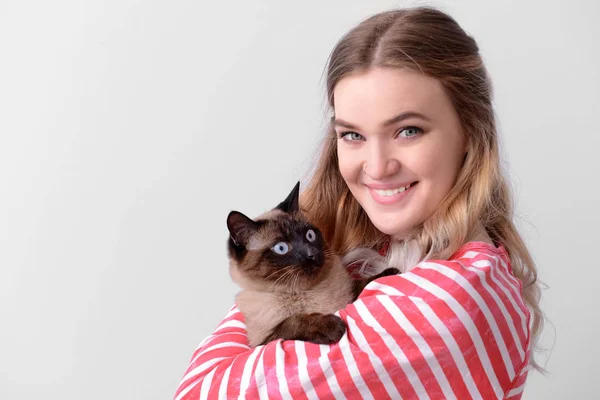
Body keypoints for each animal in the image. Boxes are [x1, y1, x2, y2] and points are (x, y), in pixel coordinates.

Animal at [225, 181, 398, 346]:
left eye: (309, 235)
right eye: (281, 248)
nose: (312, 254)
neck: (308, 291)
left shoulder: (350, 296)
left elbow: (362, 283)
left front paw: (389, 273)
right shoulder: (263, 342)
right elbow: (292, 322)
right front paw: (331, 326)